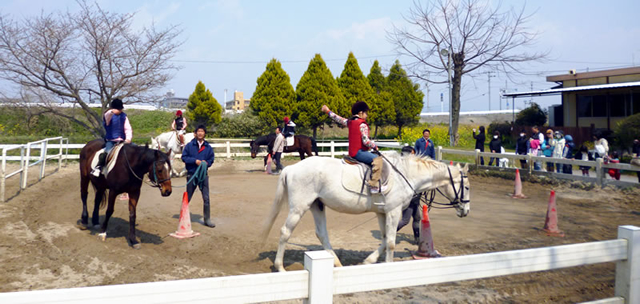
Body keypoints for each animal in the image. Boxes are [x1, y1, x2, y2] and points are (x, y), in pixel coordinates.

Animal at [262, 153, 470, 272]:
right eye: (466, 187)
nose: (466, 211)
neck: (405, 175)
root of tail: (292, 168)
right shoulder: (393, 211)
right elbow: (391, 242)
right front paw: (387, 266)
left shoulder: (382, 213)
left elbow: (385, 240)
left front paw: (369, 261)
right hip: (299, 207)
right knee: (285, 232)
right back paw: (280, 267)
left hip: (317, 205)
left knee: (321, 234)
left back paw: (337, 263)